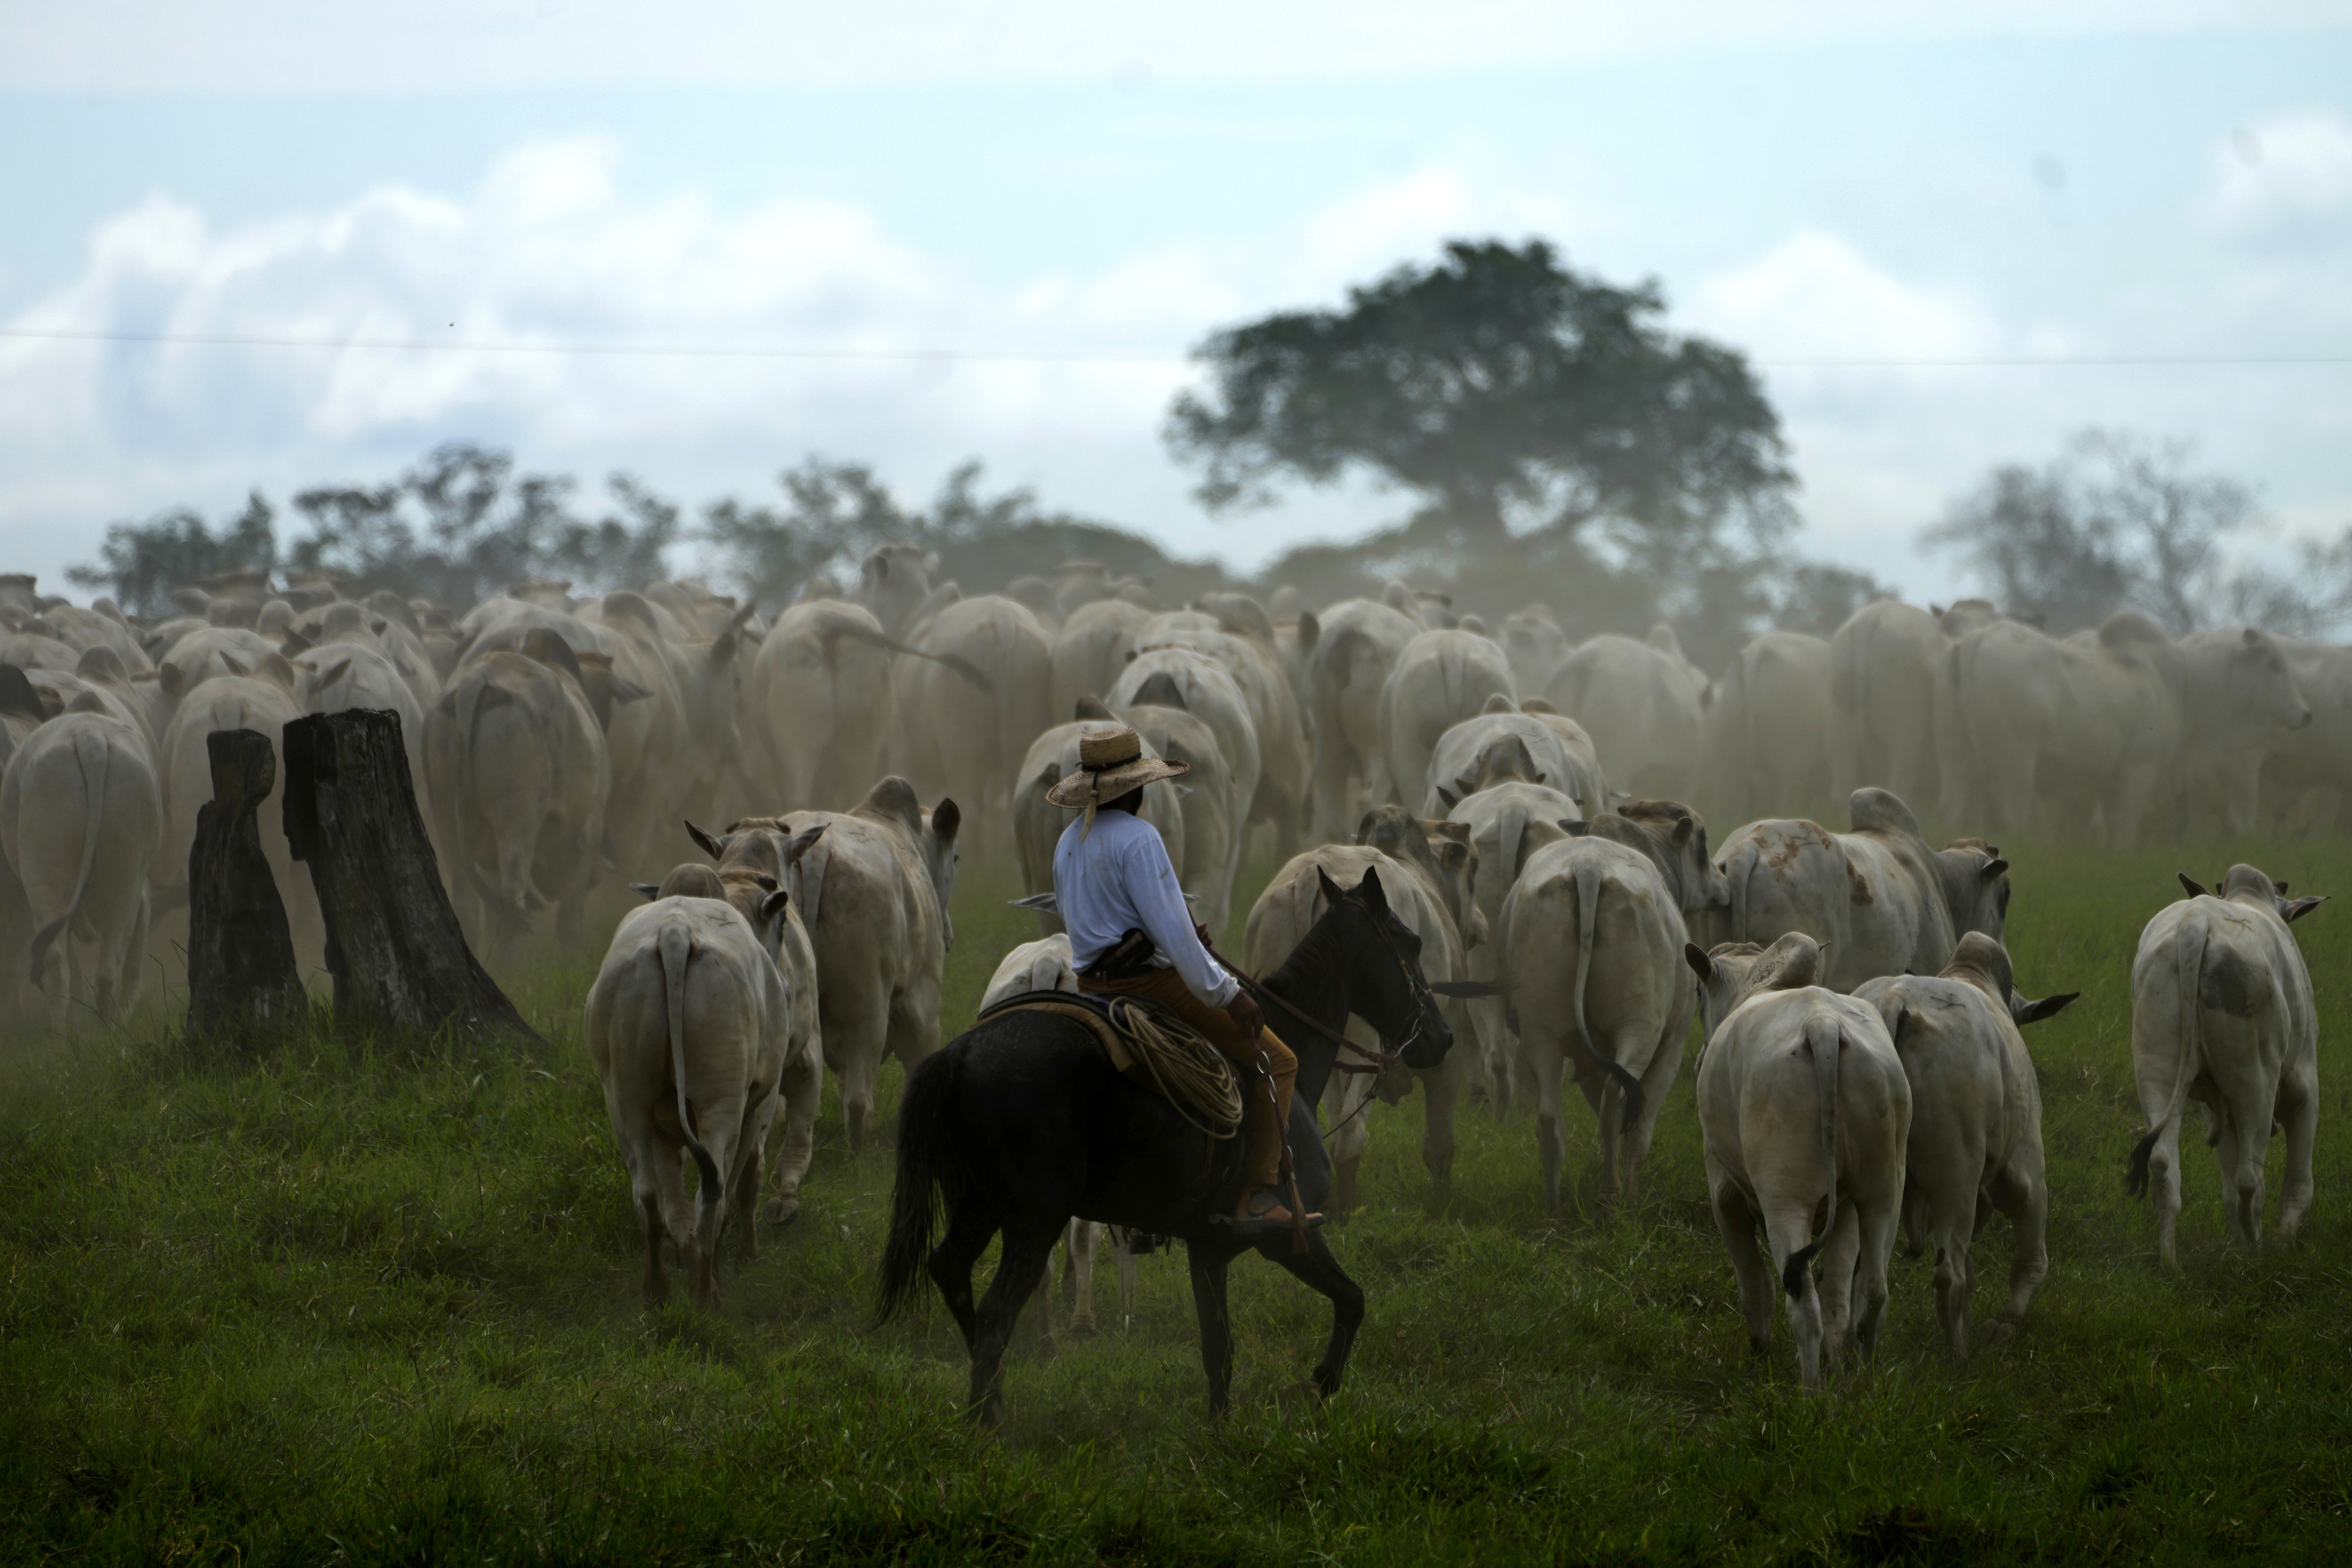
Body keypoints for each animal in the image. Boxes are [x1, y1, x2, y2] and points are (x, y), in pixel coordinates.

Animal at [1500, 834, 1694, 1212]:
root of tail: (1588, 865)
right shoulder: (1672, 1051)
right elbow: (1639, 1128)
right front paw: (1632, 1194)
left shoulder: (1586, 1061)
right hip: (1639, 1025)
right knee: (1614, 1102)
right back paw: (1611, 1195)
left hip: (1540, 1030)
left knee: (1549, 1118)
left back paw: (1555, 1208)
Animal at [1687, 932, 1912, 1392]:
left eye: (1698, 992)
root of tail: (1823, 1027)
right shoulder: (1844, 1208)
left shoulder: (1724, 1195)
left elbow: (1754, 1287)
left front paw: (1760, 1354)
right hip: (1881, 1191)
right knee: (1866, 1294)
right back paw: (1857, 1379)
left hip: (1785, 1200)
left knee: (1804, 1305)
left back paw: (1810, 1394)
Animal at [1853, 933, 2076, 1359]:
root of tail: (1893, 1003)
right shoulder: (2024, 1165)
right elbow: (2031, 1259)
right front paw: (2004, 1323)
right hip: (1955, 1172)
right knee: (1949, 1274)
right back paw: (1959, 1356)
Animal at [2125, 865, 2326, 1268]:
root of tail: (2196, 923)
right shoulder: (2305, 1087)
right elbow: (2299, 1185)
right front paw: (2283, 1241)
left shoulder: (2216, 1106)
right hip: (2255, 1081)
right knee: (2250, 1179)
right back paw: (2255, 1252)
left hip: (2156, 1064)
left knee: (2163, 1163)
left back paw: (2171, 1263)